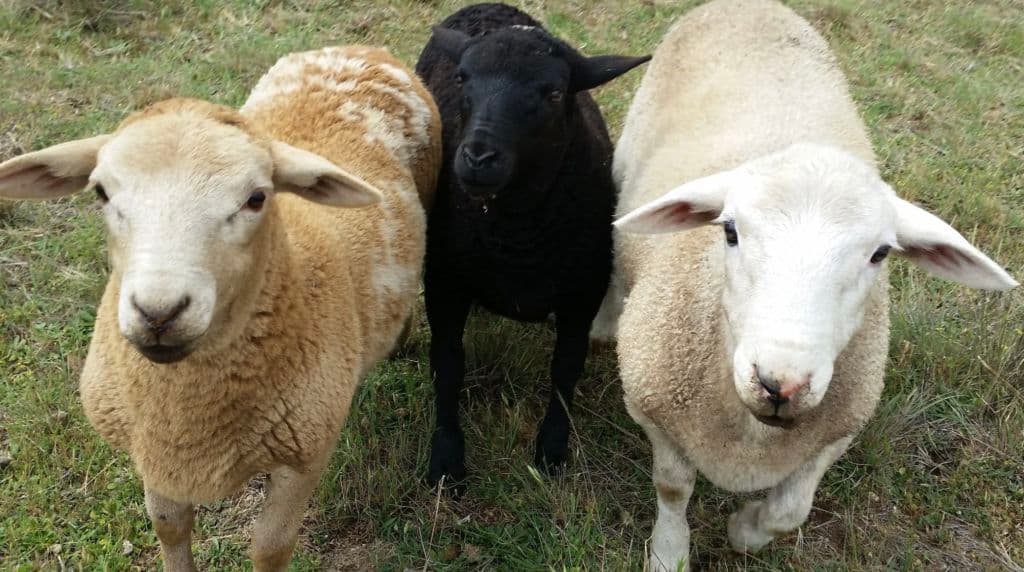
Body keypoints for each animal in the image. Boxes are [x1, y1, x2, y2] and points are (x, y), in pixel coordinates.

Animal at [0, 46, 441, 572]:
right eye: (101, 193)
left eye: (256, 198)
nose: (159, 312)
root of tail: (360, 52)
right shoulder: (155, 448)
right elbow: (169, 527)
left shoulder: (303, 455)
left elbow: (270, 547)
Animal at [413, 2, 650, 486]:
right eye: (462, 78)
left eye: (555, 93)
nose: (478, 158)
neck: (517, 234)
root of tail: (490, 7)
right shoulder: (445, 284)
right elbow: (447, 365)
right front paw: (446, 457)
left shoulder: (583, 293)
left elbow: (566, 368)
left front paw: (552, 449)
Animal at [602, 1, 1019, 569]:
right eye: (729, 230)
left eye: (880, 253)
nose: (781, 382)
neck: (753, 435)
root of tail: (751, 5)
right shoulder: (655, 413)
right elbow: (672, 489)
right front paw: (670, 554)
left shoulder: (835, 432)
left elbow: (790, 511)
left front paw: (744, 530)